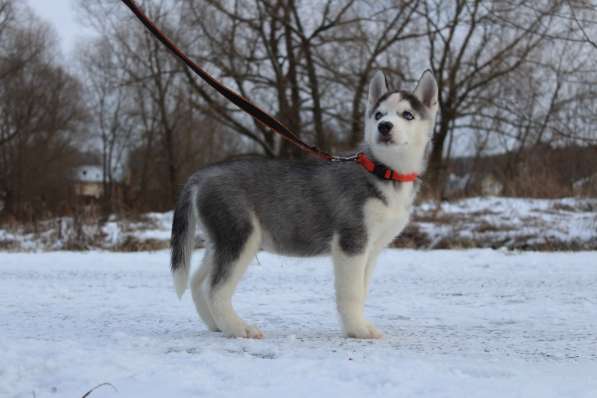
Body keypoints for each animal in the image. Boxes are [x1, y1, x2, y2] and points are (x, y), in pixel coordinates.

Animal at [169, 70, 438, 338]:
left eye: (407, 115)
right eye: (379, 114)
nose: (384, 126)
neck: (384, 171)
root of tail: (202, 174)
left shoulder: (371, 249)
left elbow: (361, 290)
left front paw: (359, 325)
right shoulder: (351, 242)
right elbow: (351, 293)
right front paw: (358, 330)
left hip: (221, 240)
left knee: (198, 282)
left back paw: (215, 324)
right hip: (240, 237)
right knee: (216, 289)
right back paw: (238, 328)